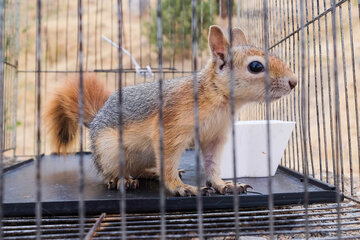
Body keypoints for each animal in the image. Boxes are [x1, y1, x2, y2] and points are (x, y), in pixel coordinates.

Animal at [43, 25, 296, 196]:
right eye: (256, 66)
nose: (294, 82)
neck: (219, 100)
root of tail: (96, 118)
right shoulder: (171, 128)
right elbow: (169, 163)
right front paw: (181, 188)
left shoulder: (215, 136)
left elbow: (212, 164)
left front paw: (223, 184)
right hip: (110, 151)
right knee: (112, 172)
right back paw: (122, 180)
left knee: (141, 168)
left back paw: (151, 172)